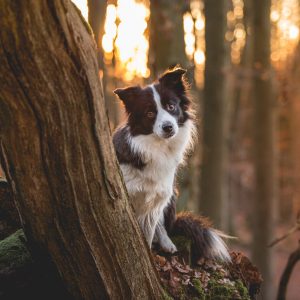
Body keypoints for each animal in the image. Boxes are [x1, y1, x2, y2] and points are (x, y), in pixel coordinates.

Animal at [112, 68, 230, 262]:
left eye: (171, 106)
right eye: (149, 113)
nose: (168, 127)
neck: (158, 148)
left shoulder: (156, 200)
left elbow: (148, 234)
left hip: (170, 194)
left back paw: (167, 242)